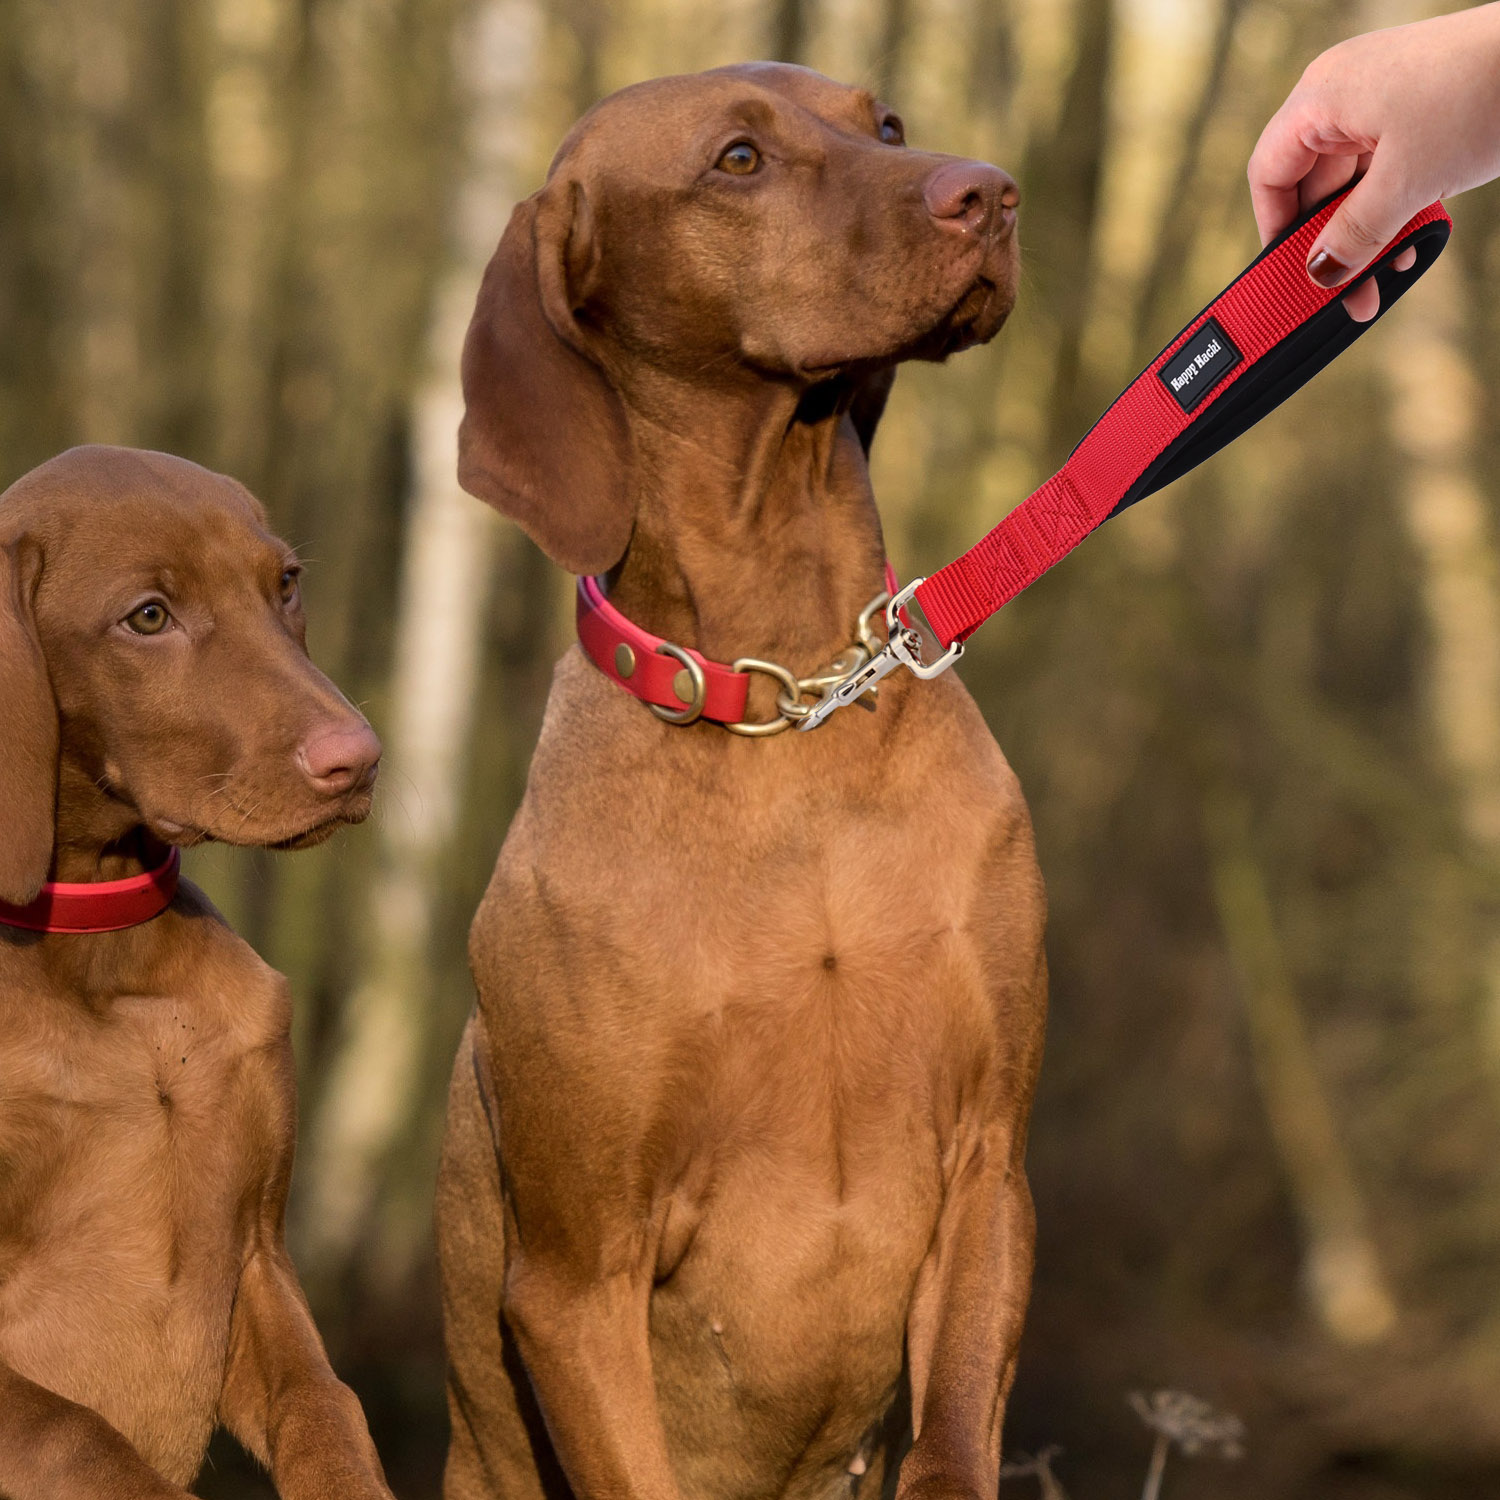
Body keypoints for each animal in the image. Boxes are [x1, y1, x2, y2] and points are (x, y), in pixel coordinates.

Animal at [0, 444, 393, 1500]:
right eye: (148, 617)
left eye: (284, 584)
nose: (360, 761)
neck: (105, 963)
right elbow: (81, 1435)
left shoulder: (256, 1258)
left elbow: (327, 1410)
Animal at [435, 64, 1044, 1500]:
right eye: (737, 160)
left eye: (885, 125)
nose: (990, 191)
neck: (788, 703)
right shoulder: (576, 1277)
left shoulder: (990, 1165)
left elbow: (951, 1442)